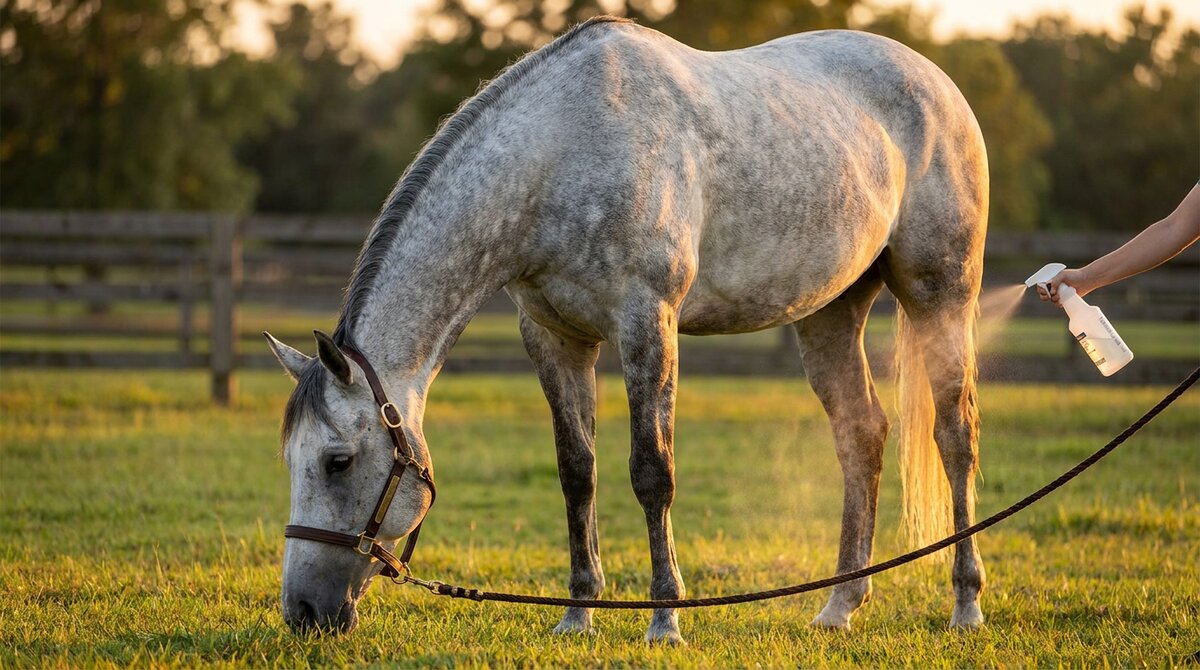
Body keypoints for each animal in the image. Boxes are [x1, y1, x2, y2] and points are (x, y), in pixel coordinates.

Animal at [264, 15, 987, 643]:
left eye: (337, 461)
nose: (302, 613)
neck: (560, 151)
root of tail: (938, 82)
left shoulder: (646, 323)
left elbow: (651, 472)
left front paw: (665, 619)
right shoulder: (554, 337)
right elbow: (576, 472)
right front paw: (578, 613)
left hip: (940, 296)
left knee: (954, 435)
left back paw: (965, 603)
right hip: (830, 311)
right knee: (861, 435)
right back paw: (840, 605)